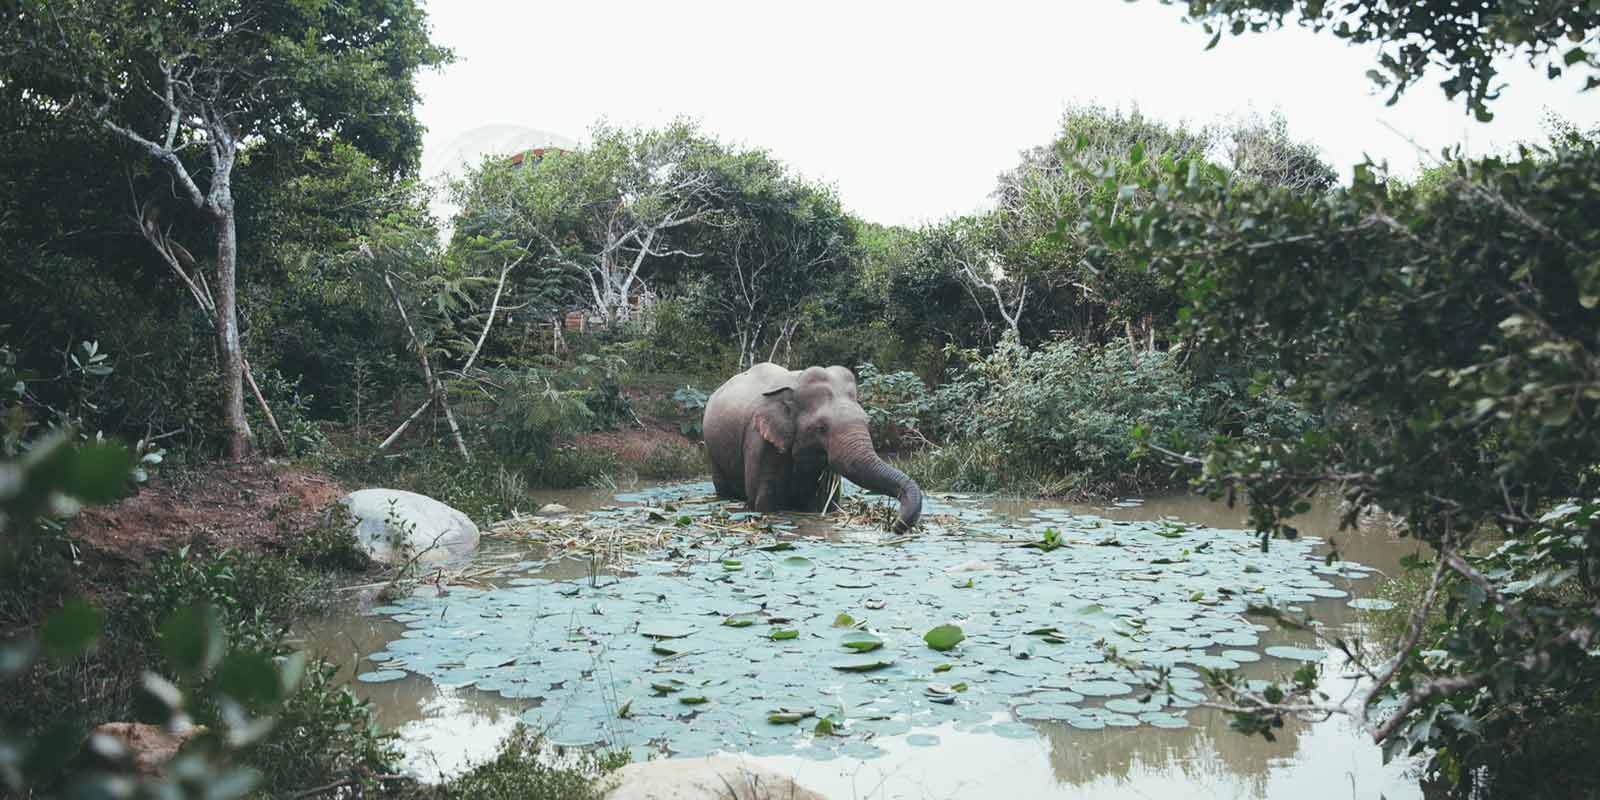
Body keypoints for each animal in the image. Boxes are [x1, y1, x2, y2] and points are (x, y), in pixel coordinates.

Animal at [704, 363, 928, 531]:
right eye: (821, 428)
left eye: (867, 420)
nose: (895, 526)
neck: (794, 385)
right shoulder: (759, 441)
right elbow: (764, 500)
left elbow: (822, 503)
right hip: (712, 452)